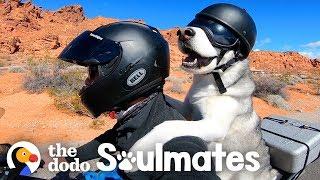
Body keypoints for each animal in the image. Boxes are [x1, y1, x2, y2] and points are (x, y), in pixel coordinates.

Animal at [130, 3, 278, 179]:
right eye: (198, 23)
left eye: (221, 33)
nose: (184, 32)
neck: (214, 81)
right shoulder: (188, 107)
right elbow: (170, 101)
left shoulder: (213, 125)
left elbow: (168, 125)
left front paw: (137, 153)